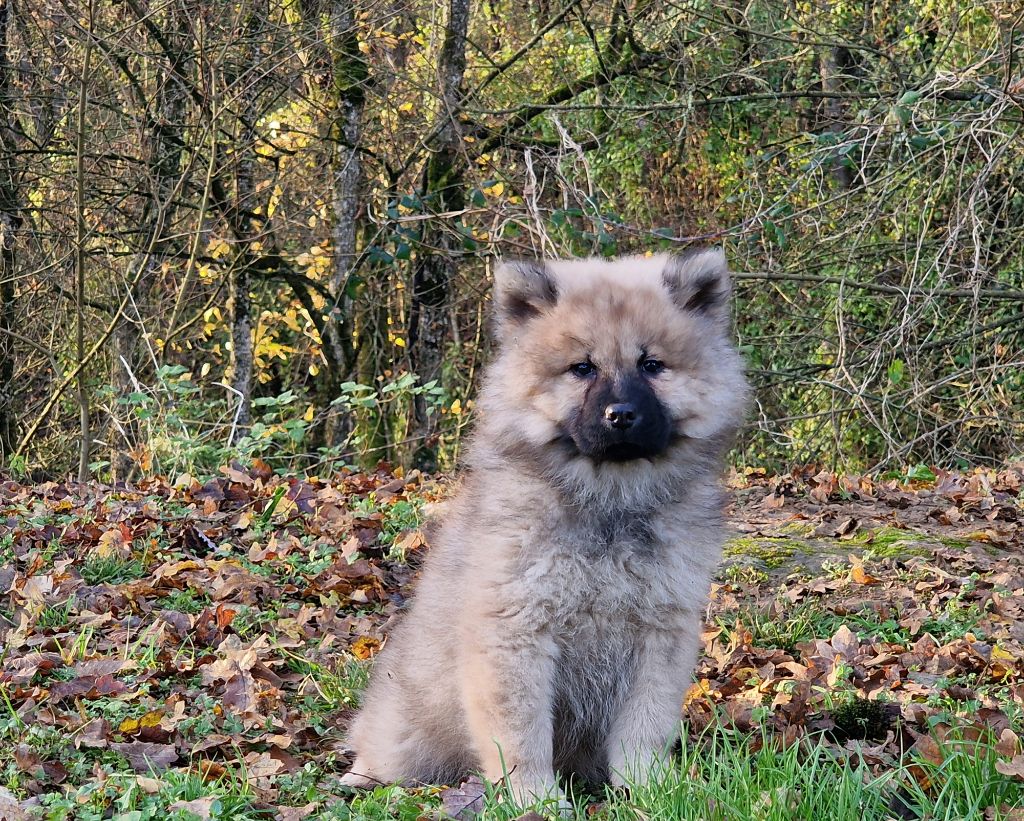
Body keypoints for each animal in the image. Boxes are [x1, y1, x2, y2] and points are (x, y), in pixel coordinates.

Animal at [339, 246, 749, 802]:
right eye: (582, 368)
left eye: (652, 366)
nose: (621, 414)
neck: (608, 502)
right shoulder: (517, 633)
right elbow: (522, 736)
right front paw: (536, 799)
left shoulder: (661, 631)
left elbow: (643, 726)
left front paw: (648, 788)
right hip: (407, 733)